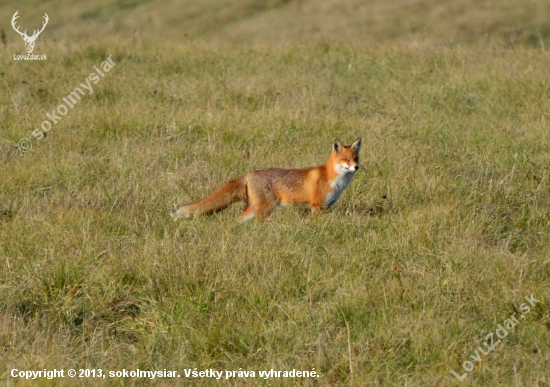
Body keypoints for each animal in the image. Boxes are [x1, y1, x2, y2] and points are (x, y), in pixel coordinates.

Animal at [172, 137, 362, 221]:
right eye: (346, 160)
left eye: (356, 158)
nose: (356, 167)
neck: (333, 179)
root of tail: (250, 173)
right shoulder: (316, 206)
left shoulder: (327, 207)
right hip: (264, 210)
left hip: (253, 209)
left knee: (237, 221)